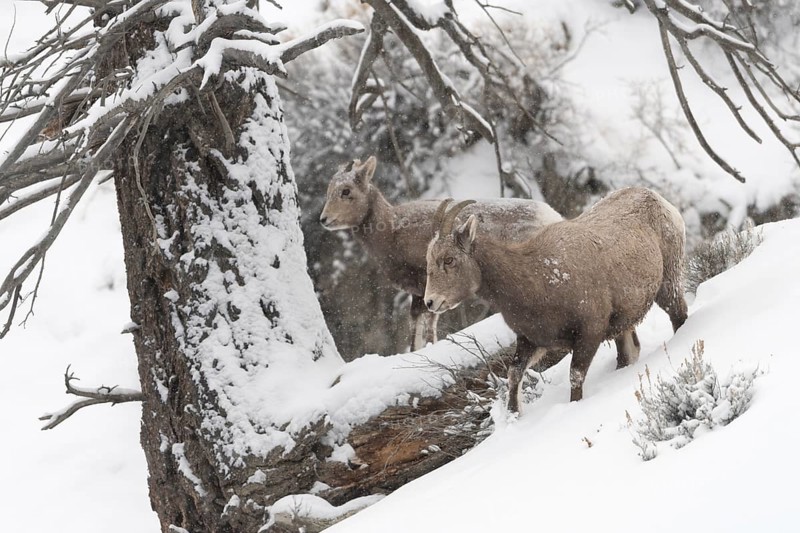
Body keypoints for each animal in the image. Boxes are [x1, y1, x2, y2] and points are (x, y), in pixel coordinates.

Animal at [319, 156, 563, 351]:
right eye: (329, 190)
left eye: (346, 191)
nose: (324, 219)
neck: (392, 231)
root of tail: (553, 217)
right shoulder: (422, 295)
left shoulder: (426, 291)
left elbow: (424, 329)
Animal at [423, 187, 688, 412]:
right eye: (428, 260)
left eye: (449, 259)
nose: (430, 302)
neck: (537, 280)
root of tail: (658, 198)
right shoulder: (531, 340)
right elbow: (514, 374)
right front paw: (513, 414)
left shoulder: (589, 332)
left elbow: (575, 376)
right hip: (624, 324)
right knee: (628, 353)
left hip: (668, 283)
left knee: (679, 316)